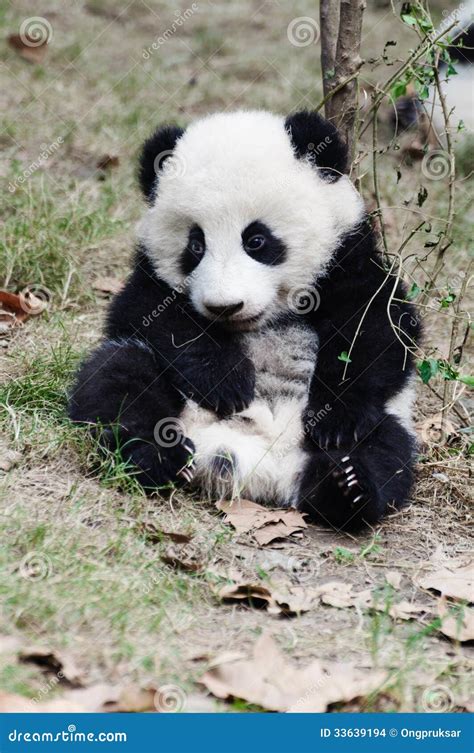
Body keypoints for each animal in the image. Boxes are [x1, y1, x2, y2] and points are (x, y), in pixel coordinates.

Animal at [69, 108, 418, 524]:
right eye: (196, 244)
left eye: (256, 240)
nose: (225, 307)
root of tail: (263, 468)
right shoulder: (149, 276)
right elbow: (149, 316)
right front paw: (227, 382)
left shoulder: (348, 258)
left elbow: (380, 327)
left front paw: (337, 419)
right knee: (120, 379)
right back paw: (157, 456)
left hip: (385, 418)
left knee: (386, 447)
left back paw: (346, 486)